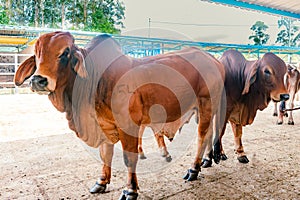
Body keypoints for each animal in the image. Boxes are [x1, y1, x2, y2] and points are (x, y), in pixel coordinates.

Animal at [14, 32, 225, 199]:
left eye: (65, 52)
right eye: (36, 54)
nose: (38, 80)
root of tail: (214, 60)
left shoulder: (128, 126)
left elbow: (129, 158)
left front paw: (130, 190)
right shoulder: (104, 125)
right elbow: (105, 154)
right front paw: (101, 182)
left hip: (207, 104)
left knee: (202, 136)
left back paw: (193, 169)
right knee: (208, 135)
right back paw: (206, 161)